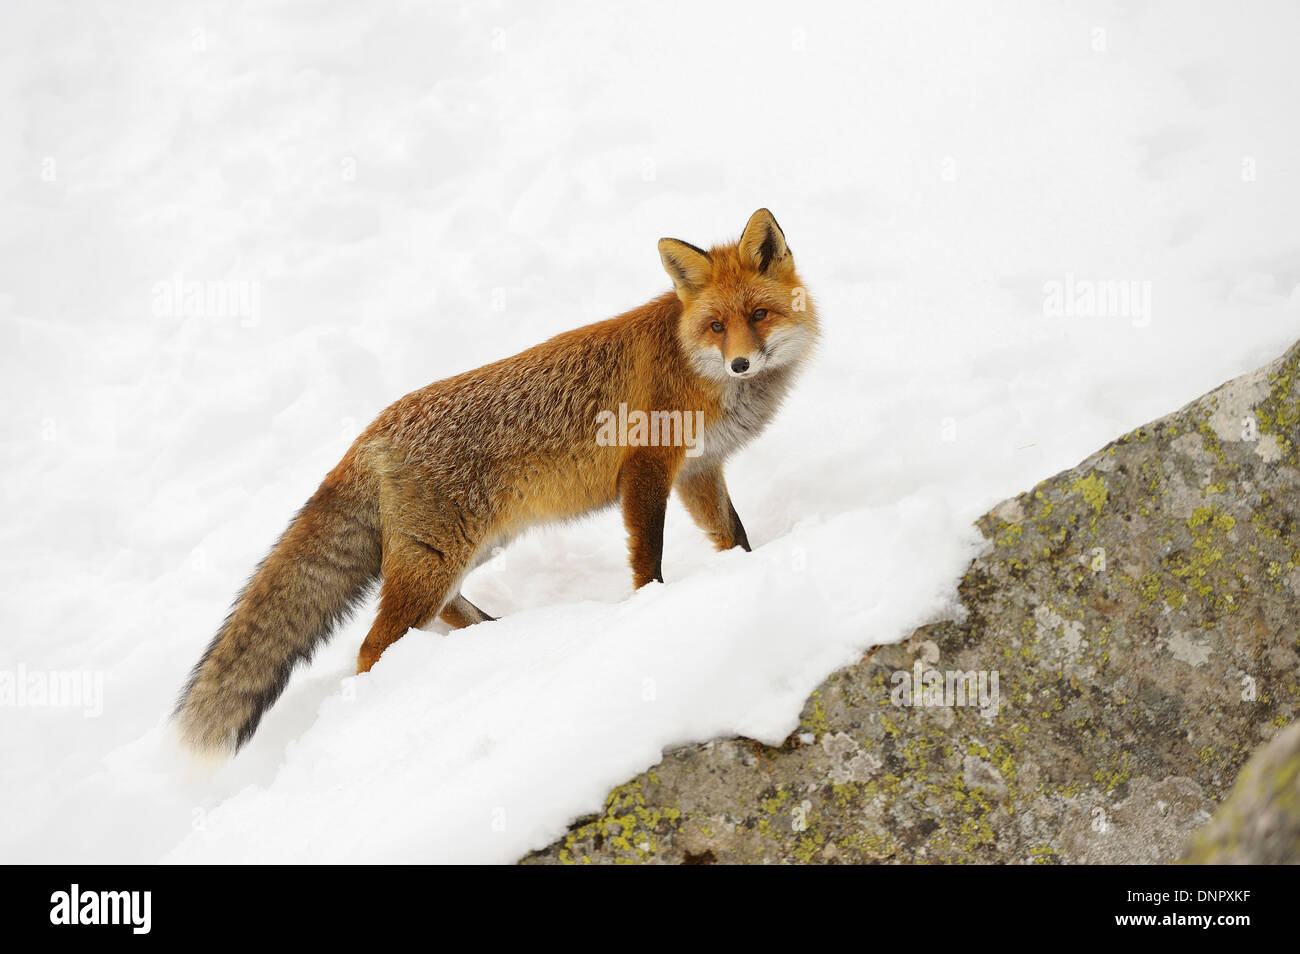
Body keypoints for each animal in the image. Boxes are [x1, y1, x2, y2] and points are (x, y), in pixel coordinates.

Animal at [173, 208, 819, 757]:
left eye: (758, 316)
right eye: (716, 326)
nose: (741, 363)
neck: (697, 368)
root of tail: (372, 430)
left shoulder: (697, 471)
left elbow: (733, 537)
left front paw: (747, 572)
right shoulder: (645, 468)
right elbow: (648, 559)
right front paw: (648, 608)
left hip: (466, 551)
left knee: (447, 614)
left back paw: (497, 642)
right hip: (439, 558)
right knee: (372, 646)